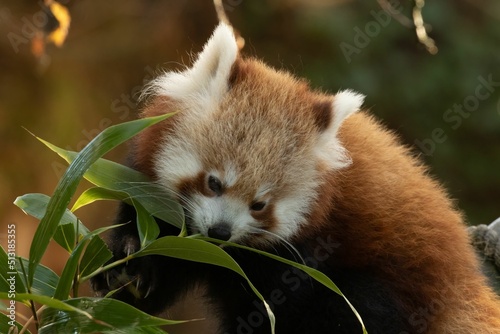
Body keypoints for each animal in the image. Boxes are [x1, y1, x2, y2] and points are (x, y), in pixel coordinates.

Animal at [92, 22, 500, 332]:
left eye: (260, 205)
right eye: (213, 182)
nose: (220, 232)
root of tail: (465, 277)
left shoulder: (306, 255)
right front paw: (128, 265)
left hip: (391, 281)